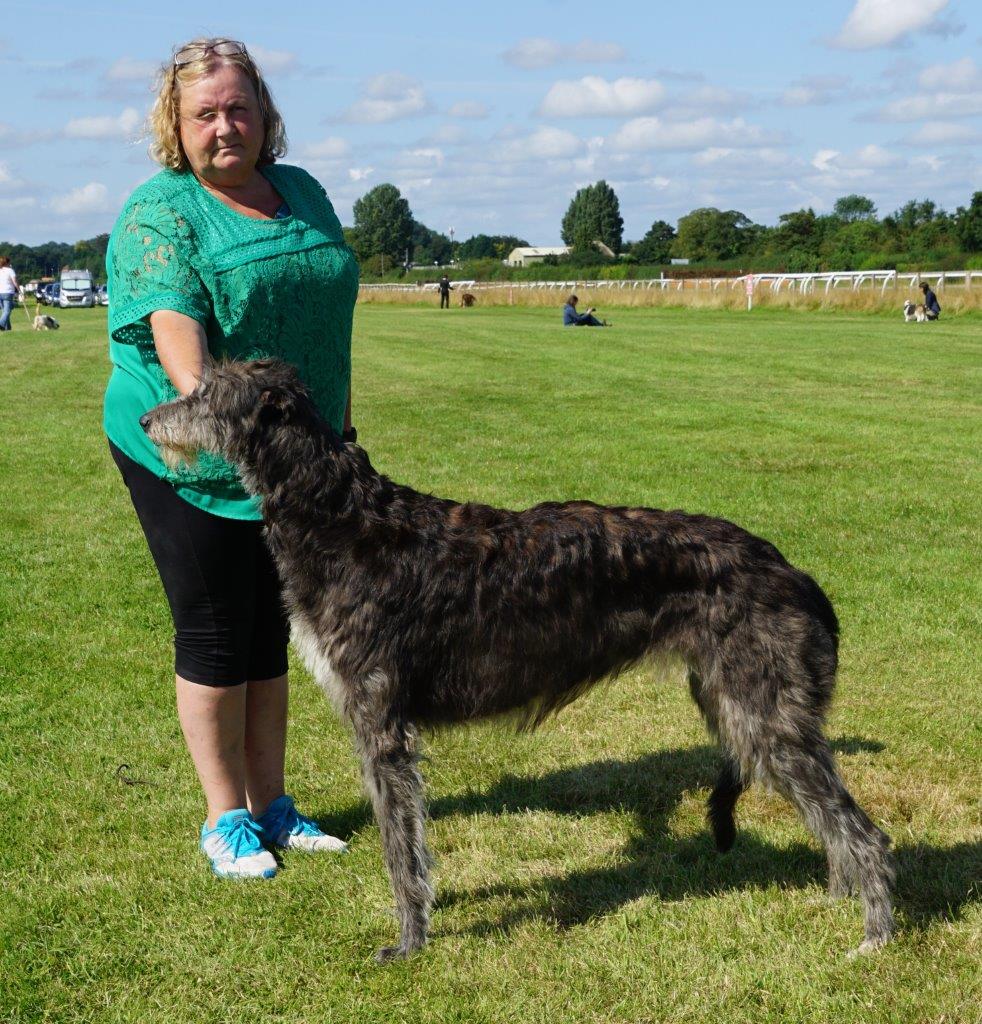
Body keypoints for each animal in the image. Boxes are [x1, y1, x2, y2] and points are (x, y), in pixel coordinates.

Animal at [142, 358, 892, 958]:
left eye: (207, 392)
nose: (148, 419)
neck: (339, 517)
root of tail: (791, 571)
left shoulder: (383, 726)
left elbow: (399, 845)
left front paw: (409, 942)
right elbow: (409, 839)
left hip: (765, 715)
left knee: (865, 833)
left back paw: (875, 934)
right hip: (736, 704)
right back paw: (839, 898)